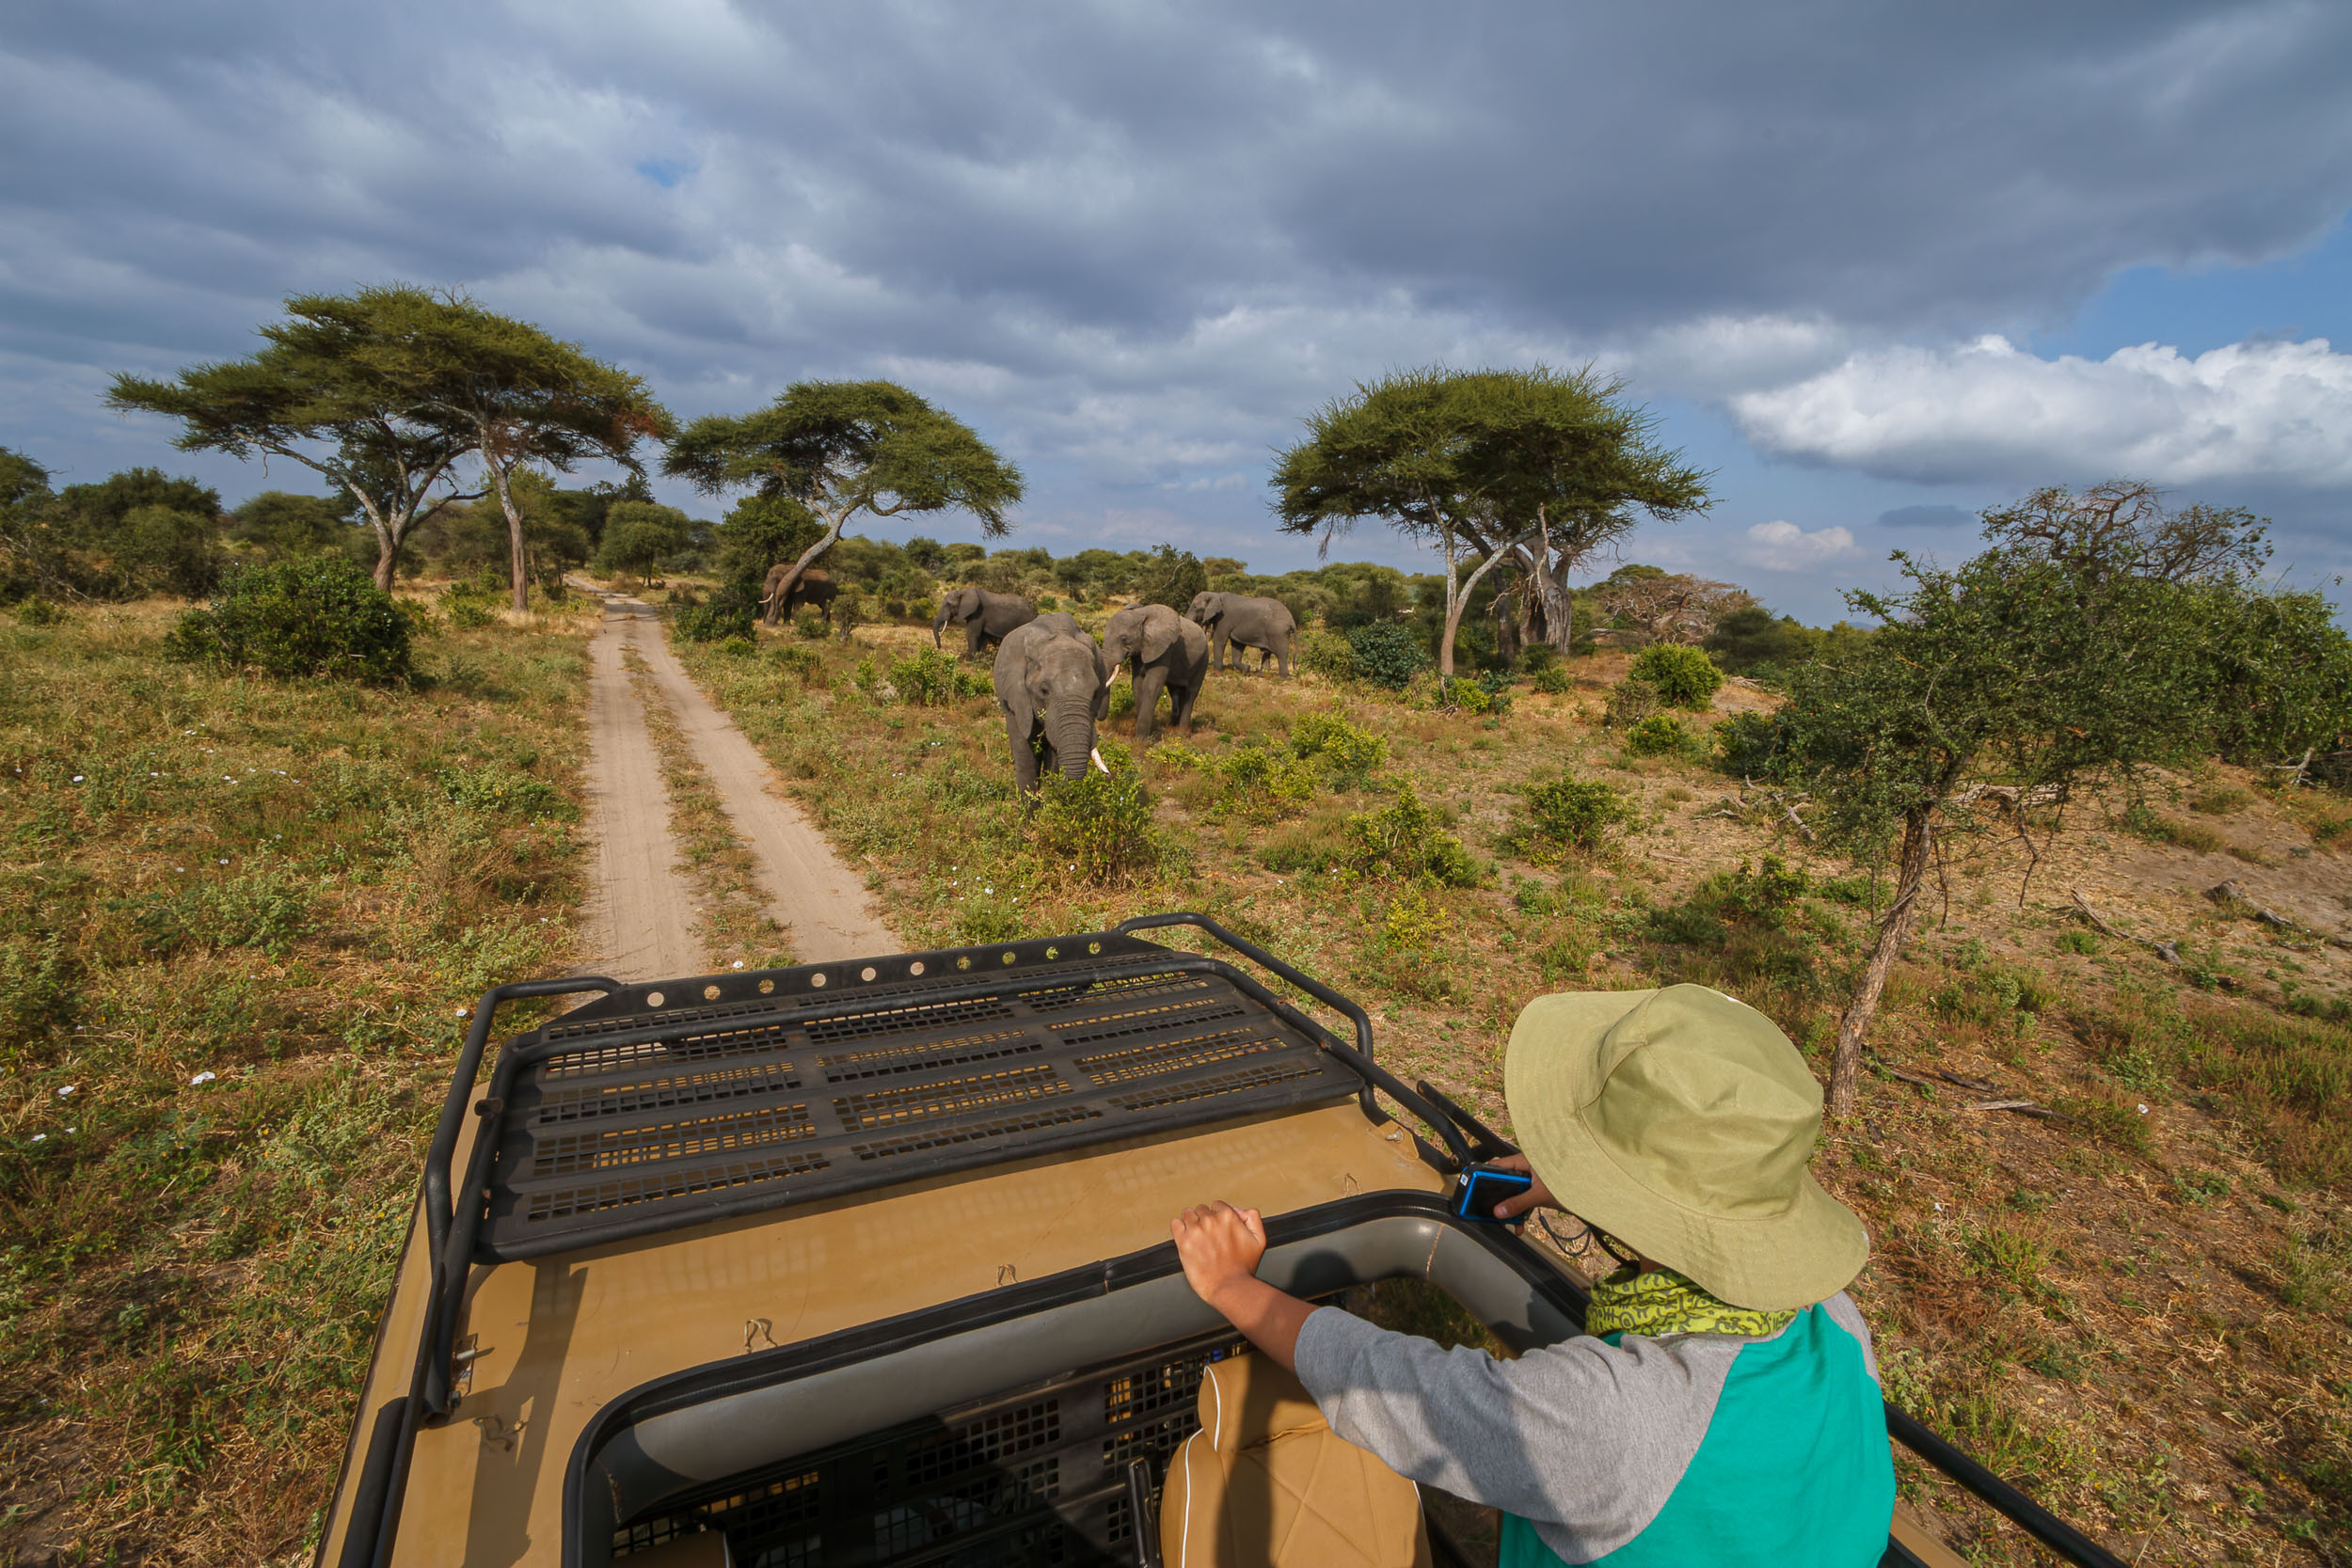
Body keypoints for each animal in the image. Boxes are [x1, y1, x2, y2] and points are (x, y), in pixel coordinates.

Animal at [1099, 603, 1209, 744]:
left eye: (1124, 639)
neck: (1140, 614)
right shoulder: (1140, 651)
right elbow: (1137, 685)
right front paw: (1141, 739)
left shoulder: (1165, 649)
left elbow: (1152, 687)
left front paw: (1142, 742)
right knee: (1175, 691)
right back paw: (1172, 727)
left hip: (1203, 659)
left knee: (1191, 693)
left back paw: (1183, 733)